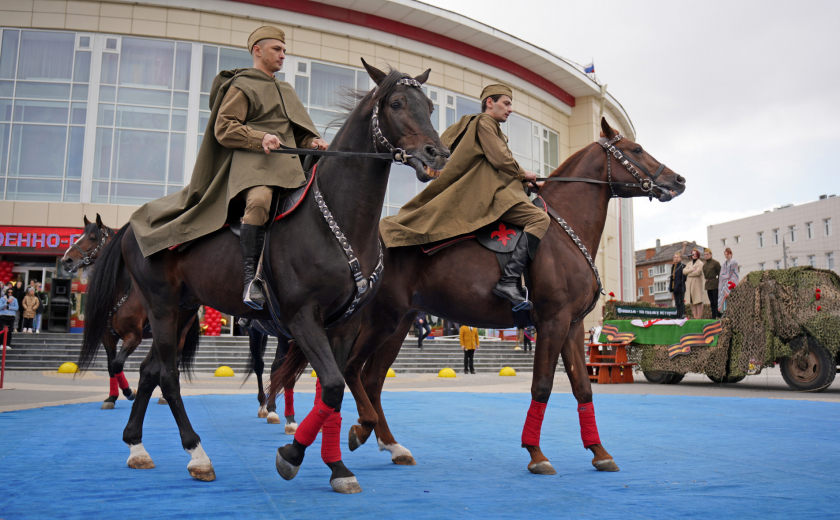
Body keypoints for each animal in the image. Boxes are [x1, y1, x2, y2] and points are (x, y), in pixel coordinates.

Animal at [84, 61, 449, 493]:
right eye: (396, 103)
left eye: (430, 105)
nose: (438, 153)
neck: (337, 220)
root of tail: (134, 223)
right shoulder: (302, 317)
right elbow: (330, 385)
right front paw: (292, 455)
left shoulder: (344, 323)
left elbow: (332, 392)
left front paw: (337, 464)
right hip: (161, 306)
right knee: (168, 376)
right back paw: (197, 454)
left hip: (183, 310)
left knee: (149, 371)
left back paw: (136, 446)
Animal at [318, 118, 686, 476]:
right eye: (636, 149)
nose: (678, 180)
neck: (563, 232)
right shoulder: (552, 322)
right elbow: (542, 385)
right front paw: (536, 454)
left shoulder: (573, 327)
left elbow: (583, 387)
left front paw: (599, 452)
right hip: (381, 321)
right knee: (351, 370)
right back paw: (360, 430)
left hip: (398, 324)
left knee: (371, 379)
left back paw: (391, 446)